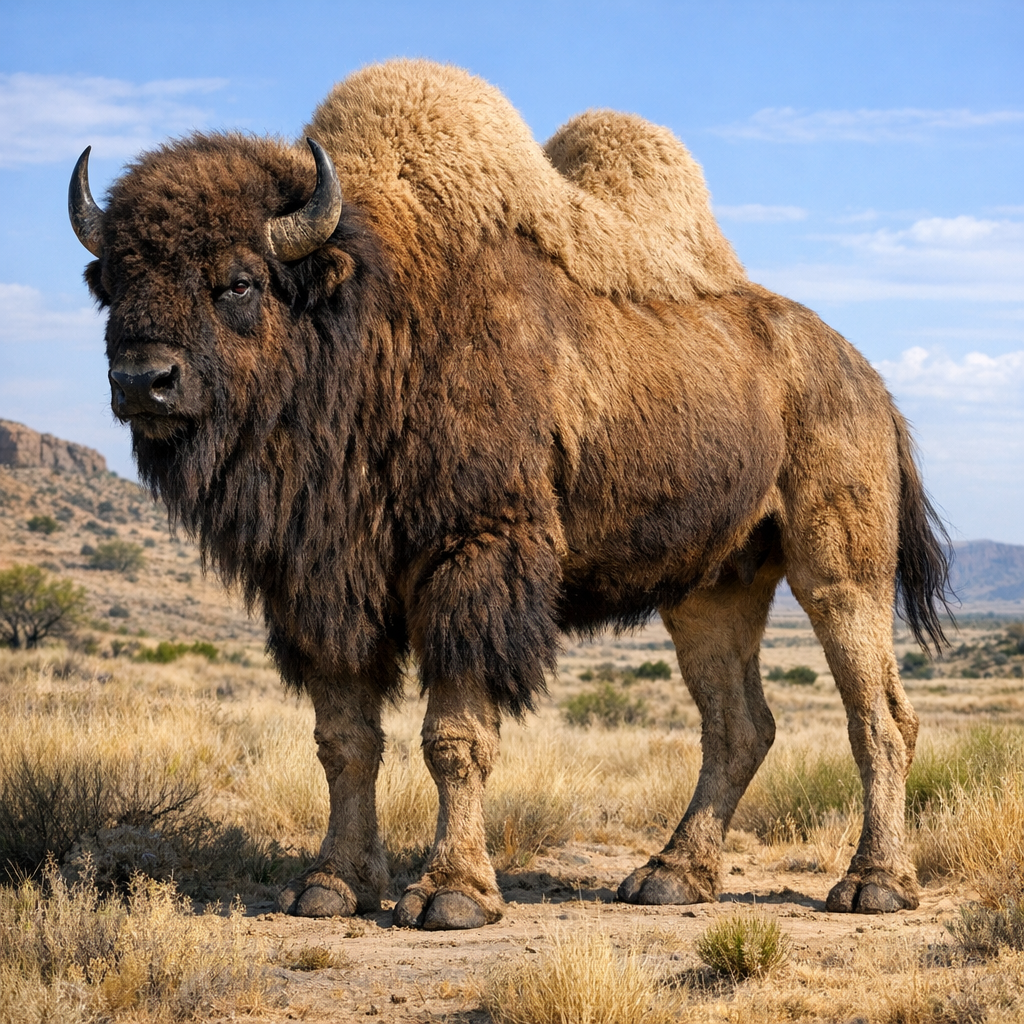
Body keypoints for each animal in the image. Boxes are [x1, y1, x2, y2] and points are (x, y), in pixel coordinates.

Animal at [69, 60, 949, 930]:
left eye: (239, 282)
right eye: (111, 281)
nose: (142, 380)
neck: (374, 314)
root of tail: (866, 381)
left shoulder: (472, 559)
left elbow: (454, 737)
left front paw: (452, 892)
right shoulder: (326, 590)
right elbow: (346, 741)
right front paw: (330, 885)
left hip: (839, 570)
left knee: (880, 717)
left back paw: (872, 885)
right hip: (710, 589)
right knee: (739, 725)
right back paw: (669, 876)